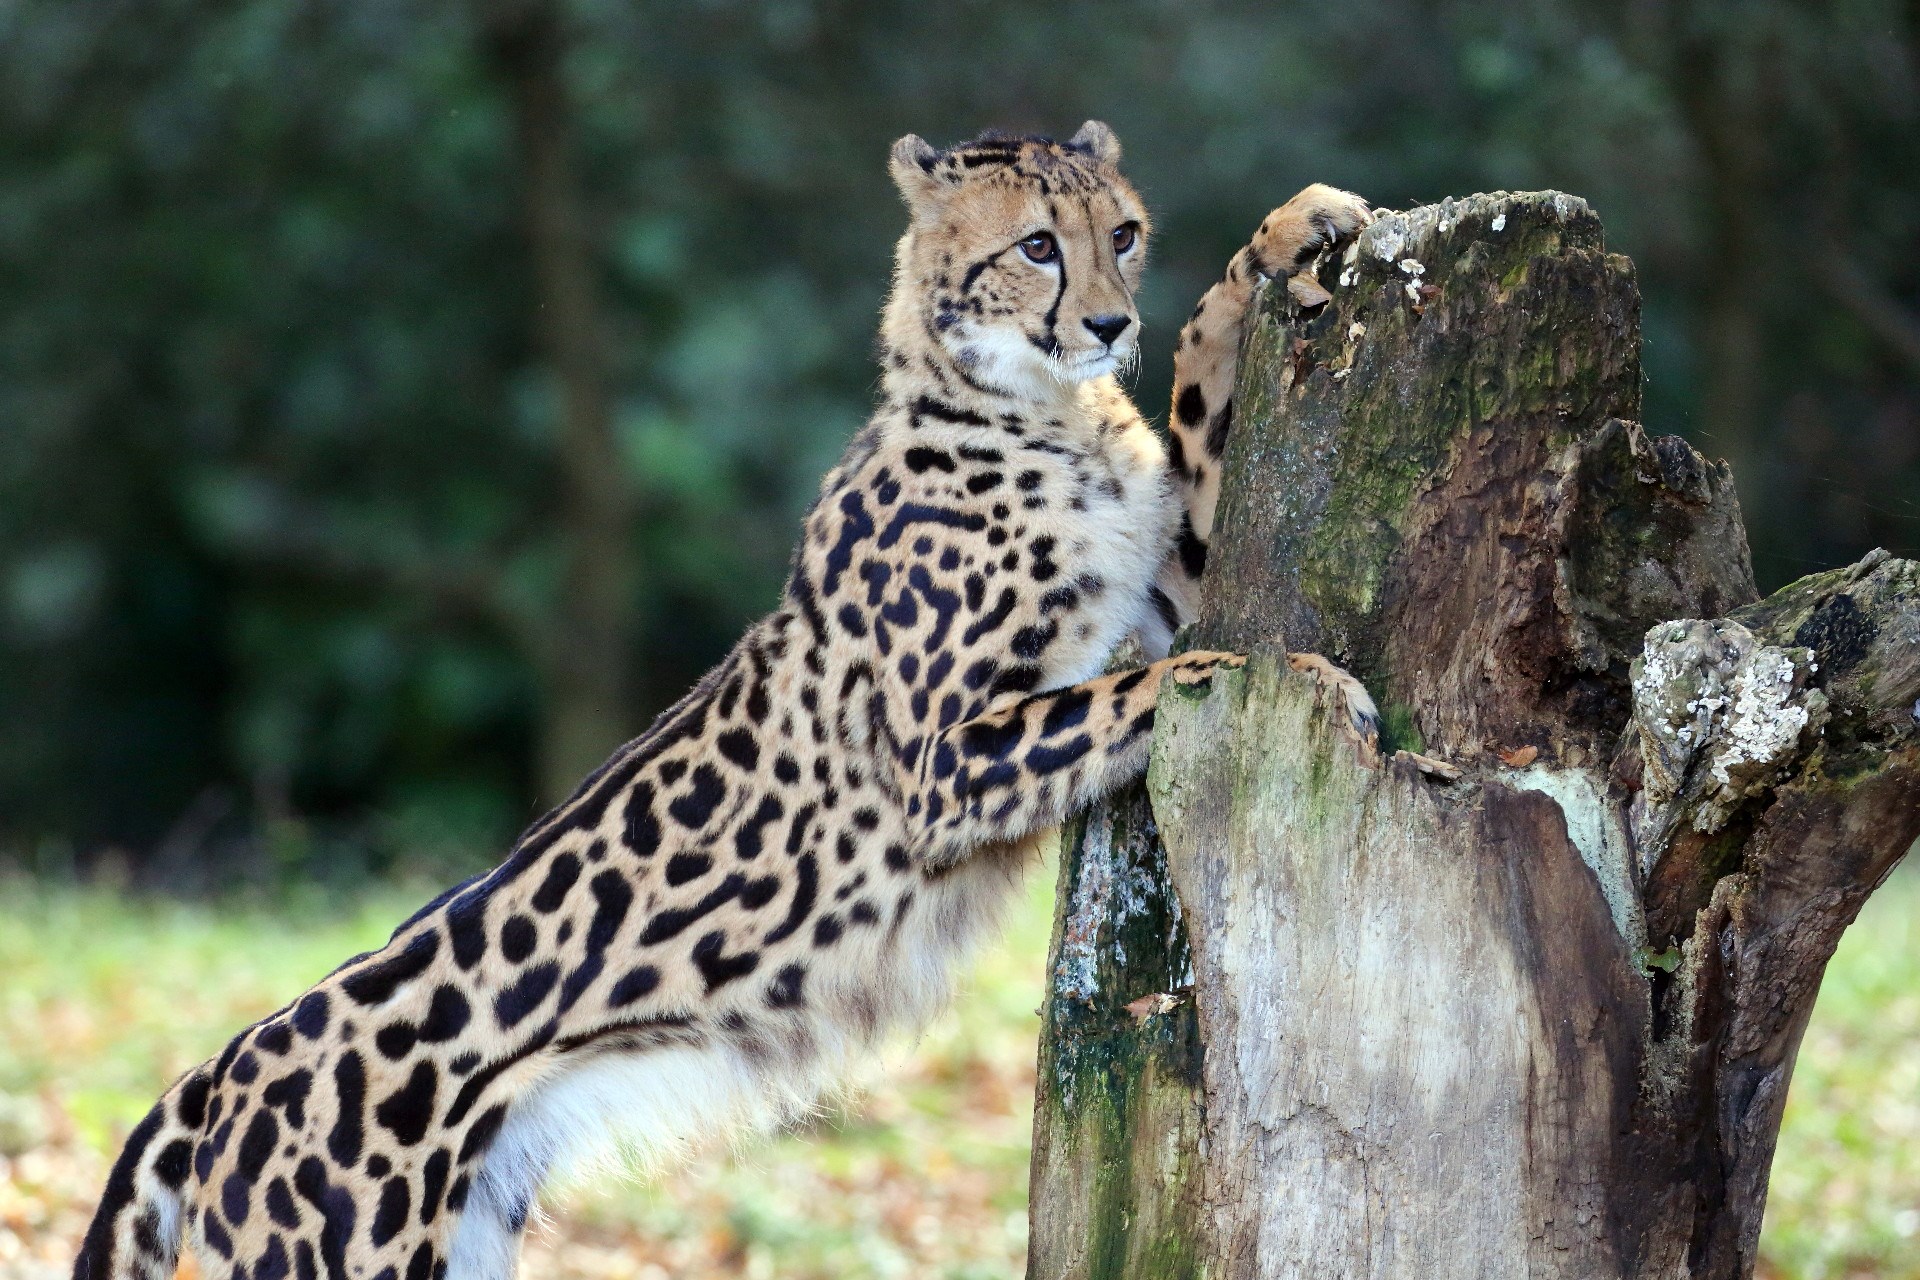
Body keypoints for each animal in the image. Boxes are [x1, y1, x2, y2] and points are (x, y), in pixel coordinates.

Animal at [78, 122, 1382, 1280]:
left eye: (1121, 233)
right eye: (1034, 246)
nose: (1109, 322)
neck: (1039, 408)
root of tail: (229, 1061)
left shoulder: (1160, 590)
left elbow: (1202, 417)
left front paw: (1288, 232)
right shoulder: (946, 766)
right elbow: (1152, 686)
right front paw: (1306, 679)